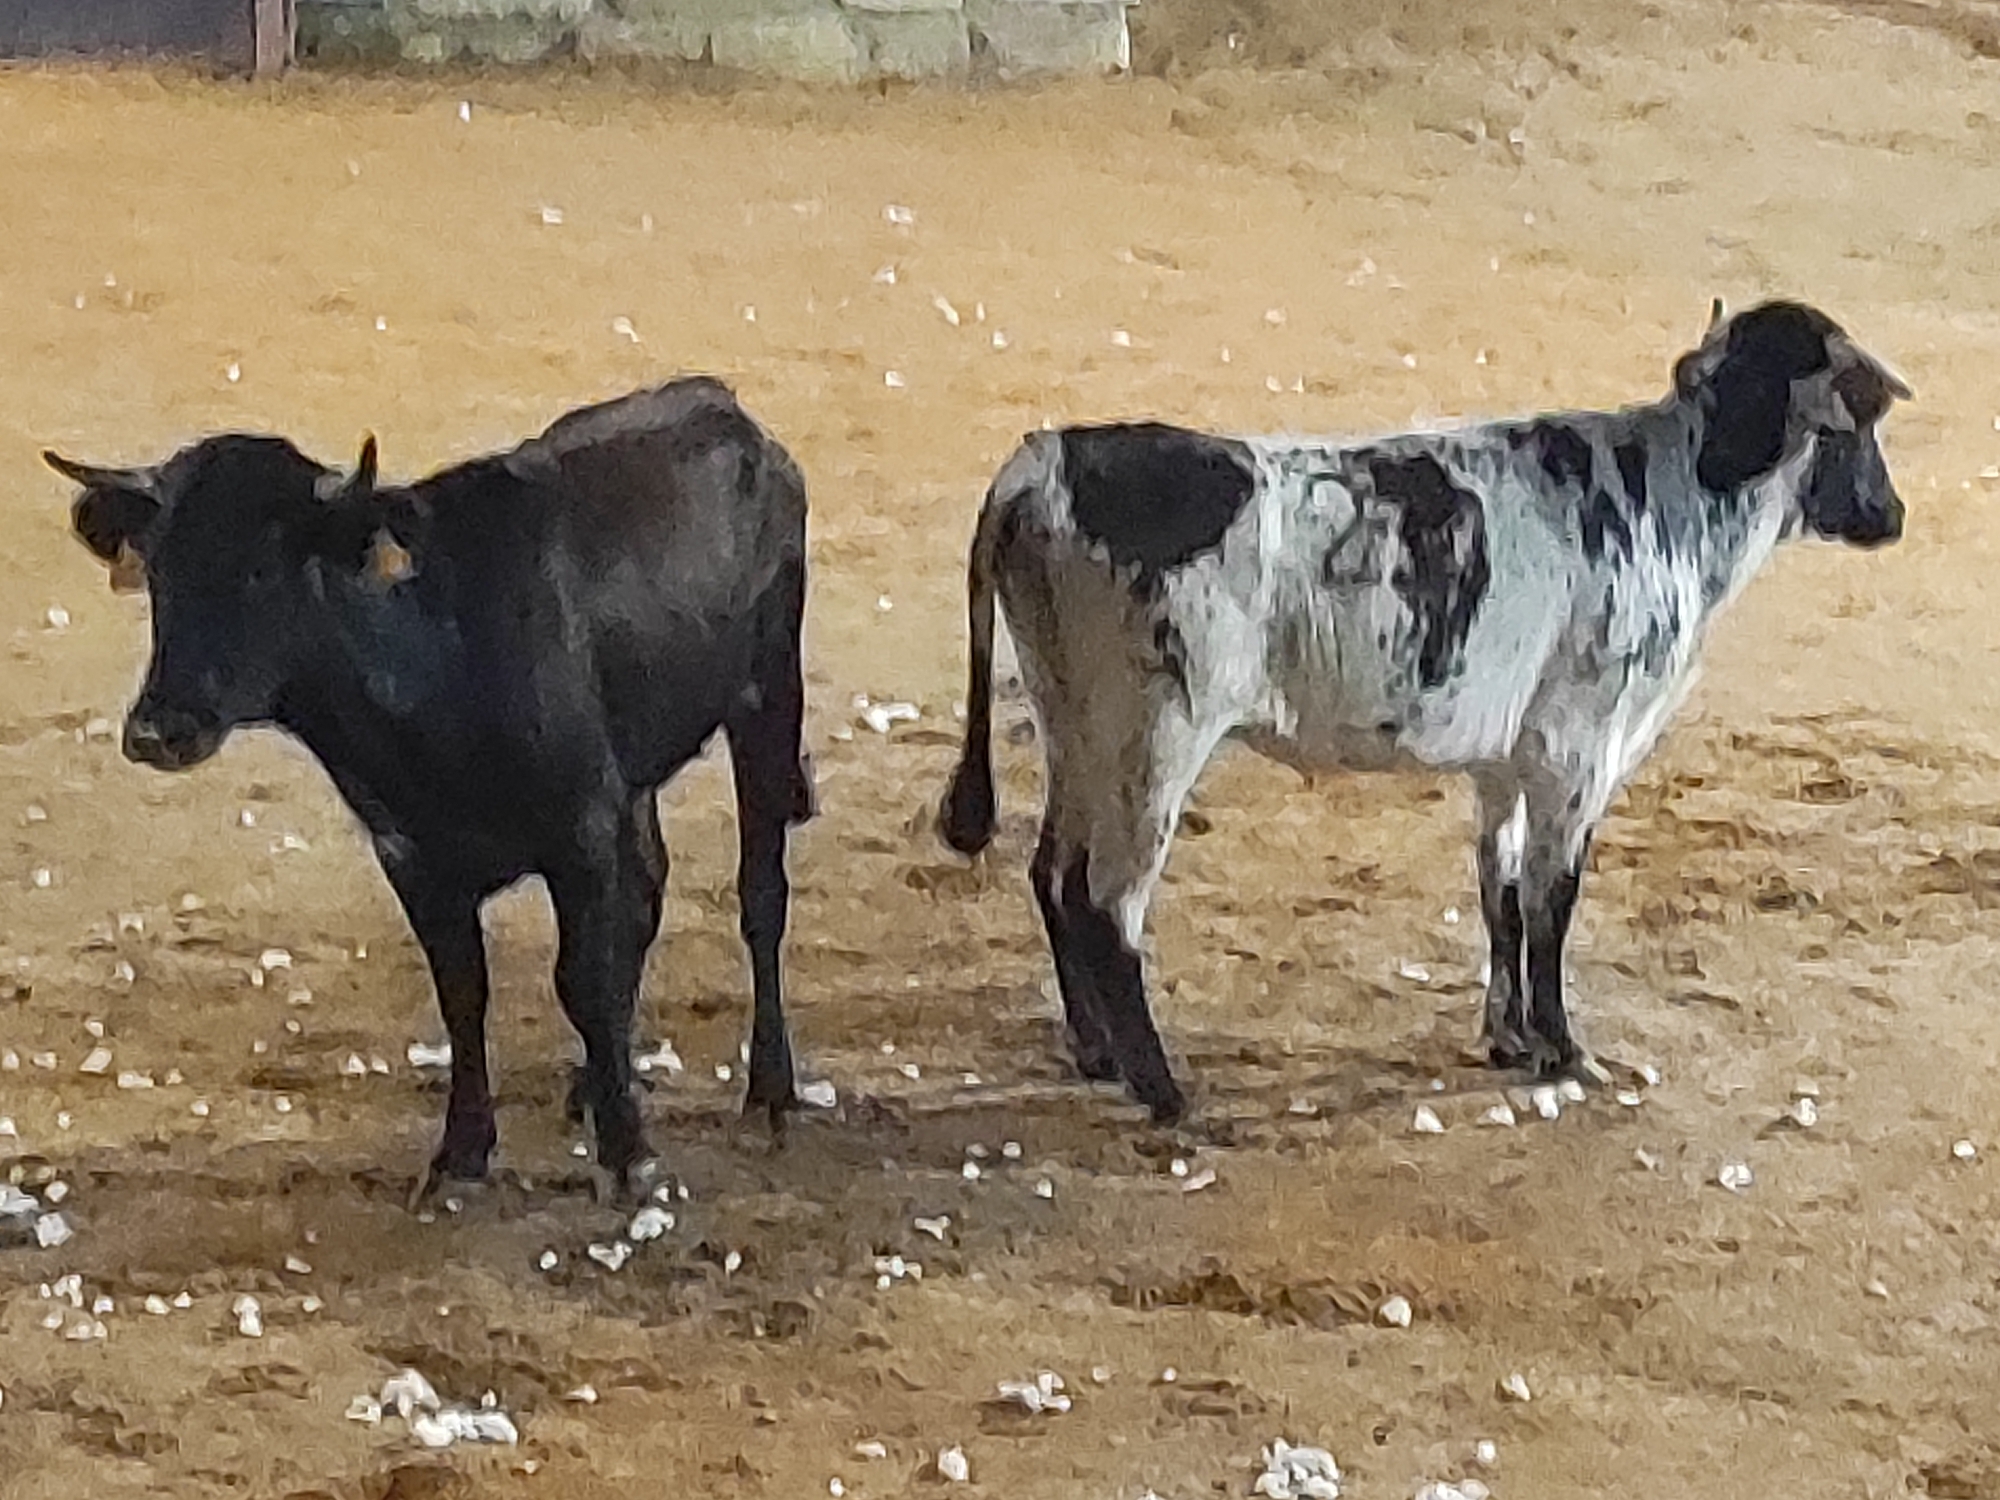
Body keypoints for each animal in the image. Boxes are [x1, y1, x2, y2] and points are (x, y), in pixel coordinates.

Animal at [46, 377, 815, 1202]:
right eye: (159, 572)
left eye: (260, 569)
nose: (156, 730)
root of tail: (727, 410)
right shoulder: (414, 854)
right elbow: (464, 992)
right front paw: (461, 1155)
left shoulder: (578, 829)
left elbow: (582, 978)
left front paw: (632, 1156)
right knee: (644, 892)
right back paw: (590, 1084)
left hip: (767, 696)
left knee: (759, 894)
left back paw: (769, 1091)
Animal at [938, 298, 1911, 1124]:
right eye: (1857, 424)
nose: (1892, 513)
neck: (1670, 500)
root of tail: (1047, 460)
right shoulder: (1577, 752)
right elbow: (1553, 903)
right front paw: (1563, 1051)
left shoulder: (1507, 763)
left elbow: (1501, 894)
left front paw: (1510, 1038)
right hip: (1154, 742)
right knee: (1109, 905)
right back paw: (1165, 1091)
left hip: (1073, 721)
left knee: (1055, 876)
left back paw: (1097, 1054)